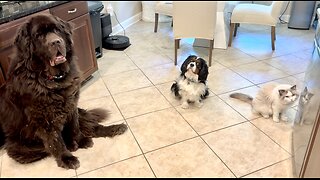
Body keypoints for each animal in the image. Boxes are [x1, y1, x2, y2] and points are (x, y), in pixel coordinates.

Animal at [0, 14, 127, 169]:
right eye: (39, 35)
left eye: (57, 30)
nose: (56, 42)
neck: (54, 80)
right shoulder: (44, 120)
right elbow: (55, 142)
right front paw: (66, 158)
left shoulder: (71, 106)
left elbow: (75, 127)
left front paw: (80, 140)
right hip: (21, 149)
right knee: (46, 148)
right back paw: (72, 145)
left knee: (92, 128)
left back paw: (115, 128)